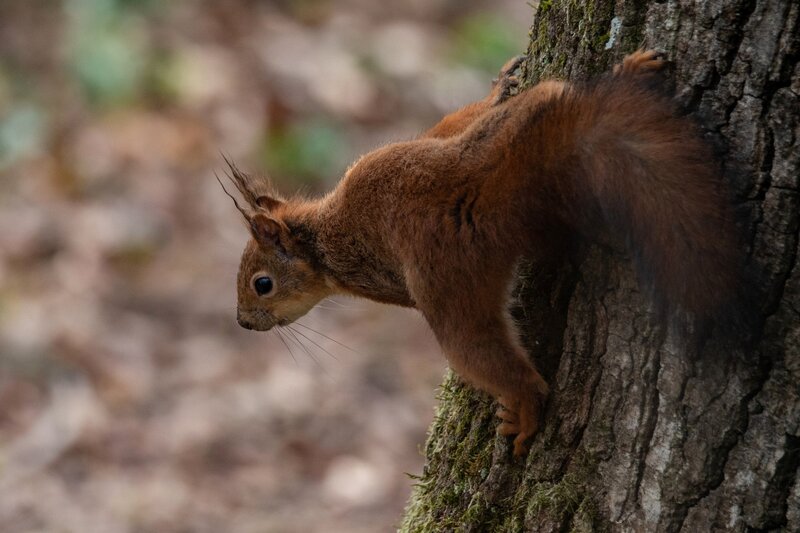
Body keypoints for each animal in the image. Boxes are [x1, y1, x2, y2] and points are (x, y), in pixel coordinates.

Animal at [219, 50, 741, 456]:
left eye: (262, 284)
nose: (243, 323)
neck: (322, 237)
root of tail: (477, 188)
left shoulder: (374, 264)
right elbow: (450, 122)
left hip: (450, 284)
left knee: (490, 360)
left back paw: (524, 407)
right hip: (525, 121)